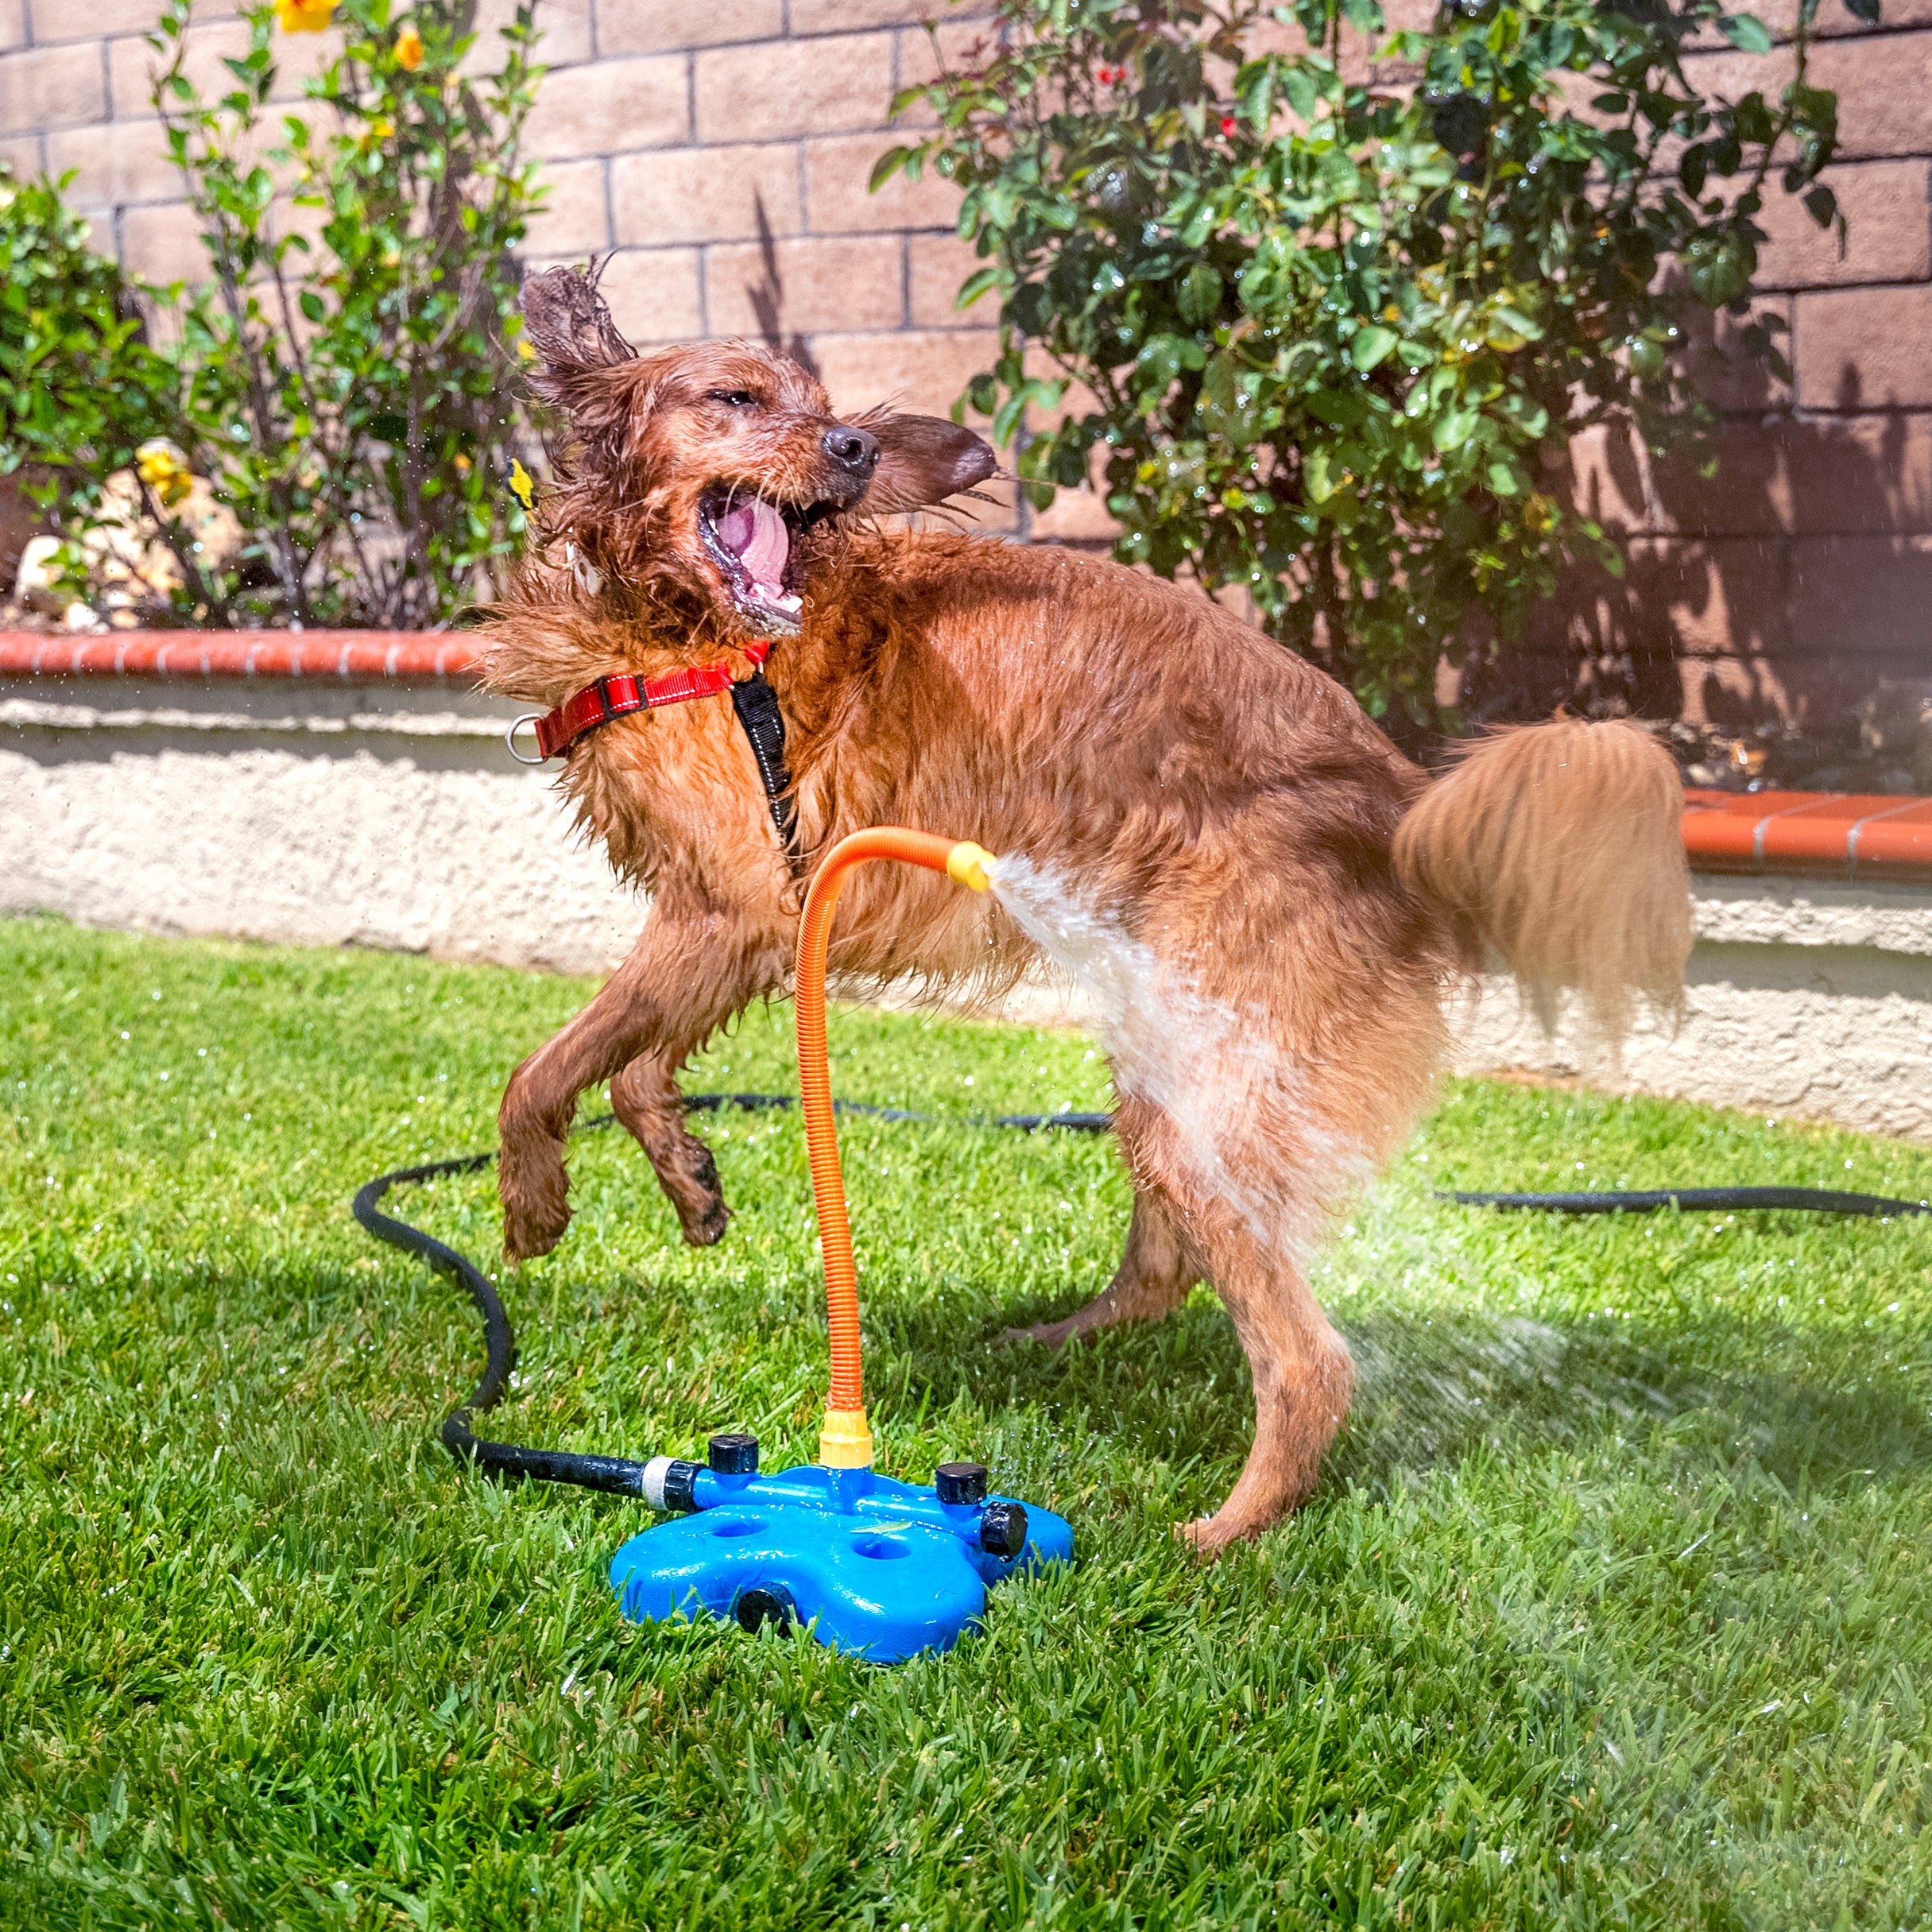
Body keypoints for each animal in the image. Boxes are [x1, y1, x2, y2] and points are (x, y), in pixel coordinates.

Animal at [482, 265, 1692, 1553]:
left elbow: (548, 1064)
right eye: (738, 397)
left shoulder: (737, 907)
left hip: (1207, 1096)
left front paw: (531, 1201)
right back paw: (1054, 1344)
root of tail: (1399, 804)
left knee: (1307, 1360)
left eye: (821, 405)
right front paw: (687, 1173)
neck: (689, 628)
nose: (858, 448)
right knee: (1168, 1273)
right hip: (1168, 1065)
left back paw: (1224, 1530)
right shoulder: (730, 923)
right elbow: (630, 1061)